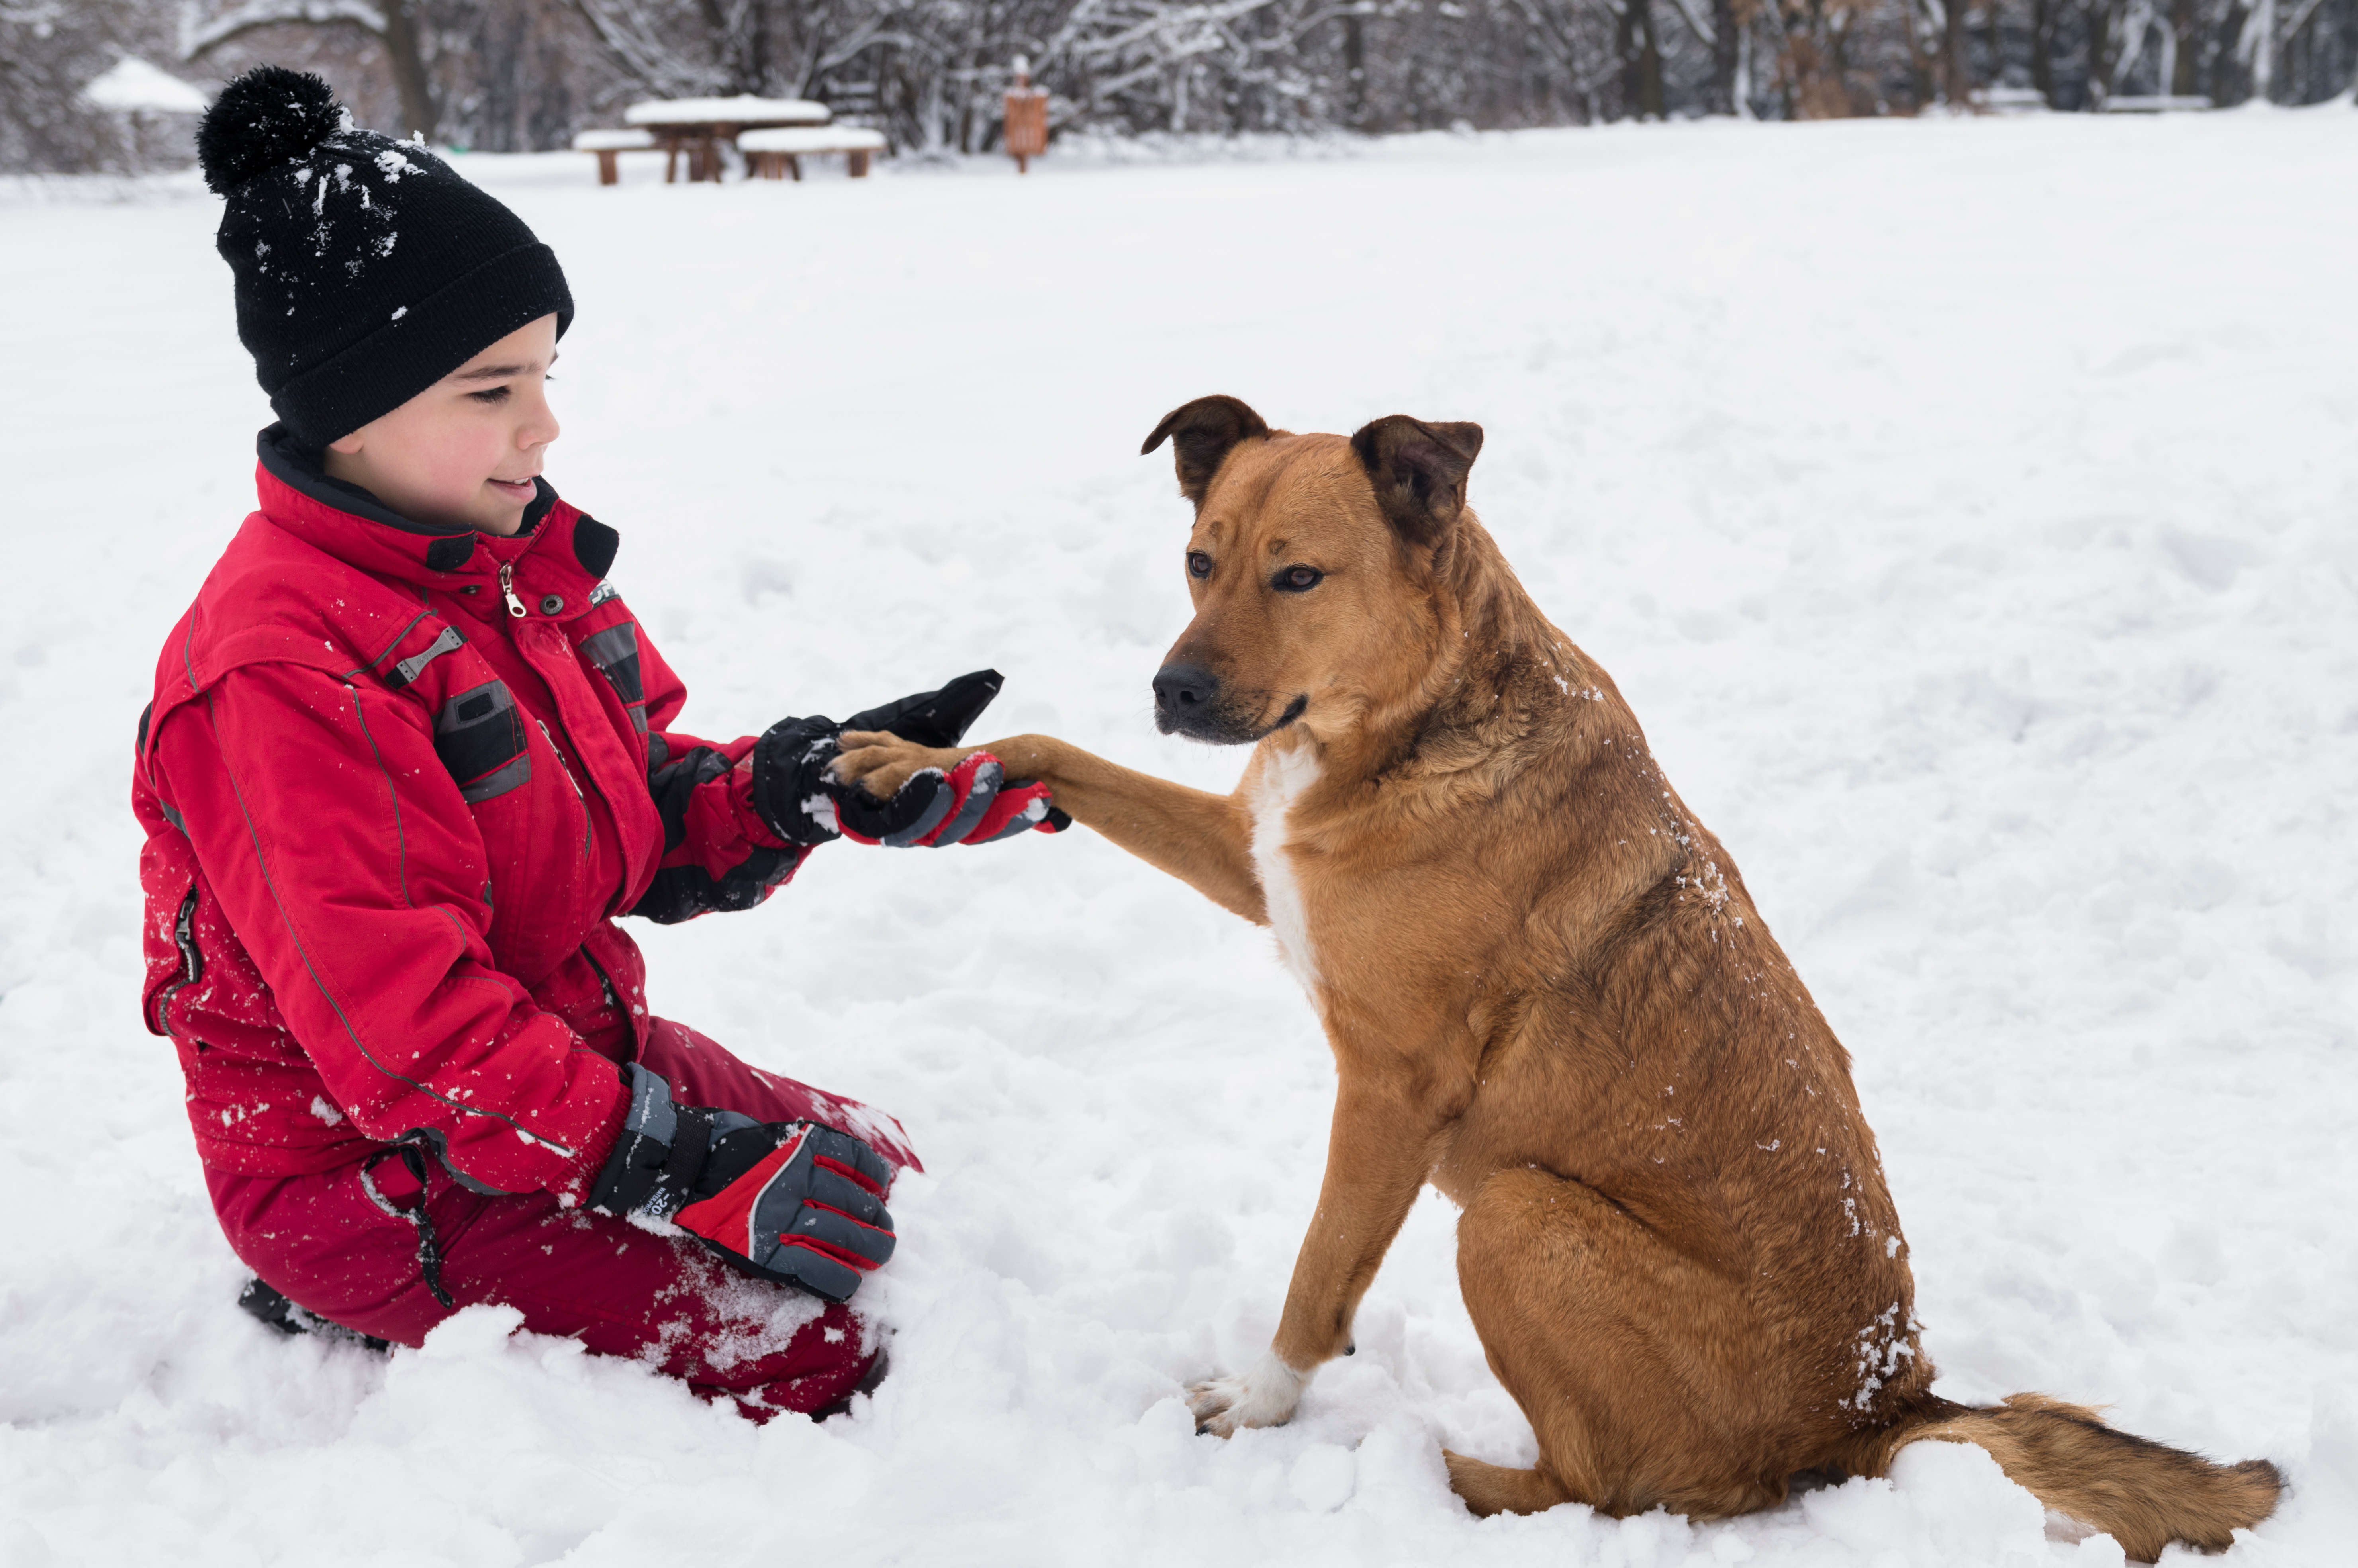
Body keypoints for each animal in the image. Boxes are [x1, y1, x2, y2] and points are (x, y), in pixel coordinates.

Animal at [834, 393, 2282, 1556]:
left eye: (1298, 575)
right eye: (1199, 561)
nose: (1174, 691)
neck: (1404, 726)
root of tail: (1878, 1403)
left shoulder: (1390, 1089)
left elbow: (1316, 1275)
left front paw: (1259, 1408)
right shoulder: (1259, 863)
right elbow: (1051, 750)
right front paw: (903, 759)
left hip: (1517, 1215)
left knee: (1617, 1488)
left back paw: (1432, 1472)